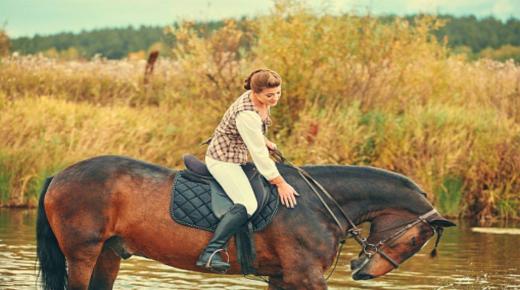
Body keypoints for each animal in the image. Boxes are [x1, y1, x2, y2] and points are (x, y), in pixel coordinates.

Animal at [35, 155, 456, 288]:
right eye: (416, 240)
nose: (363, 272)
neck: (316, 205)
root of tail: (59, 175)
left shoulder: (283, 276)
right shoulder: (305, 275)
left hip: (108, 254)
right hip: (83, 253)